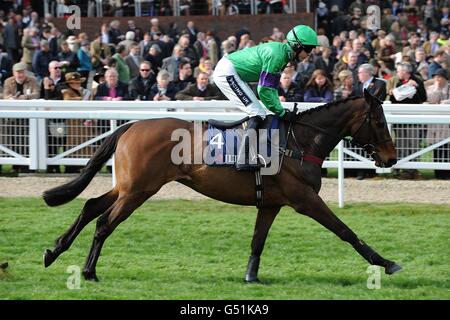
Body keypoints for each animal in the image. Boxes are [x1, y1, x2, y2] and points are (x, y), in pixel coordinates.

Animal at [42, 90, 400, 282]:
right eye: (380, 121)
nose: (391, 157)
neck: (298, 141)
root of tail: (131, 126)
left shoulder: (271, 203)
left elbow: (258, 241)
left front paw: (251, 276)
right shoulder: (305, 199)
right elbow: (345, 231)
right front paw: (386, 263)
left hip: (129, 187)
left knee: (90, 206)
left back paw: (54, 251)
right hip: (138, 190)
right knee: (104, 222)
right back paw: (88, 271)